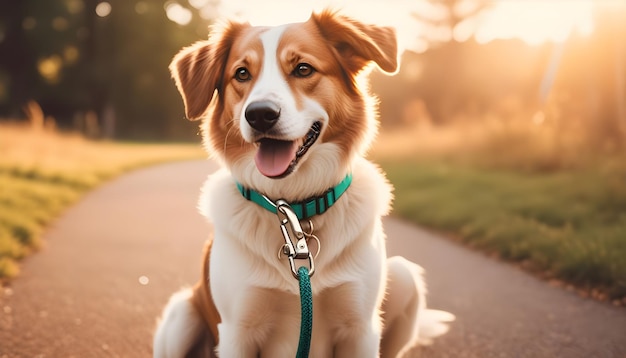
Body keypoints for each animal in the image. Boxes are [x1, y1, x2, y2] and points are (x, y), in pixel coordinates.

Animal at [152, 9, 454, 358]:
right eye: (241, 73)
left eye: (303, 68)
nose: (260, 114)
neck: (293, 206)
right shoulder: (237, 332)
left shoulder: (360, 329)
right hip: (181, 315)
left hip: (405, 276)